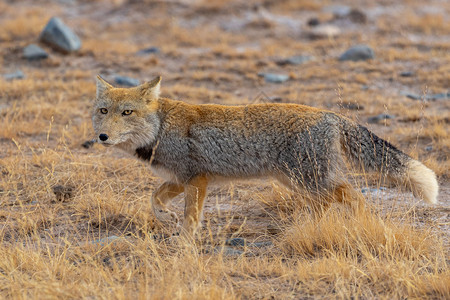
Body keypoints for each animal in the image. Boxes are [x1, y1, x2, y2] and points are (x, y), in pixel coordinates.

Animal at [92, 75, 440, 237]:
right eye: (103, 111)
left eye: (127, 112)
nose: (102, 137)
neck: (160, 128)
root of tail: (330, 115)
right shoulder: (181, 179)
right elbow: (154, 198)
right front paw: (167, 218)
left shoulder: (196, 179)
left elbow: (191, 218)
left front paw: (184, 243)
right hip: (299, 182)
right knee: (331, 202)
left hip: (311, 180)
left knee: (352, 195)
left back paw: (356, 224)